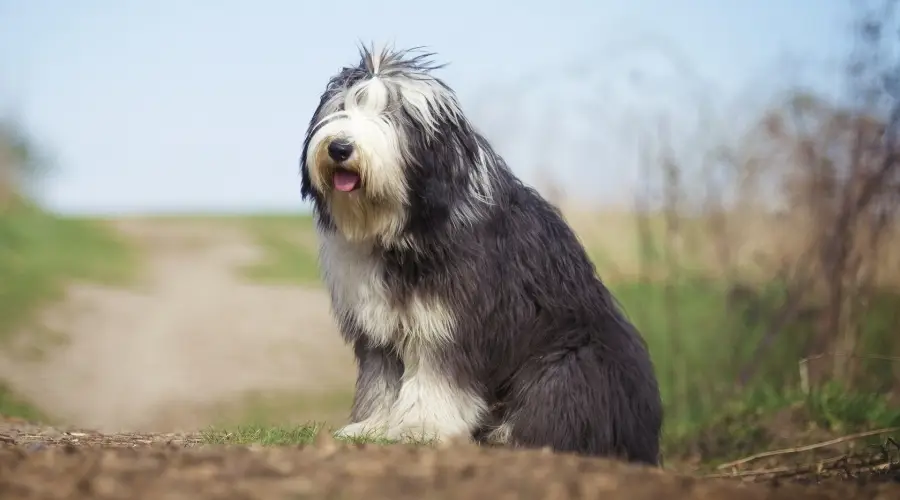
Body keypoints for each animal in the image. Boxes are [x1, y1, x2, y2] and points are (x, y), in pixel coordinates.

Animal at [298, 45, 664, 462]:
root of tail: (646, 437)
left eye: (394, 113)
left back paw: (507, 436)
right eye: (341, 107)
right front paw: (372, 426)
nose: (339, 147)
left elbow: (437, 379)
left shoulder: (452, 321)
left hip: (575, 359)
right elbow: (382, 379)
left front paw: (418, 428)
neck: (407, 227)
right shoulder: (380, 324)